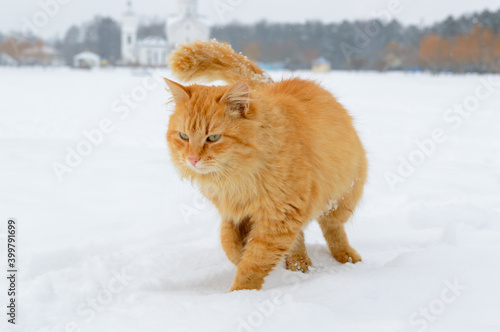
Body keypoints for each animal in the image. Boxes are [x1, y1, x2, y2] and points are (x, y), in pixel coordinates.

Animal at [165, 40, 368, 290]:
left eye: (213, 138)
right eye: (184, 136)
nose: (192, 159)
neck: (237, 178)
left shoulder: (280, 215)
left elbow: (254, 263)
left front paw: (240, 293)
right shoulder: (234, 213)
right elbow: (228, 242)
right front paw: (239, 257)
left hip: (343, 196)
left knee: (332, 227)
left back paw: (344, 256)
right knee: (300, 238)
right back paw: (299, 263)